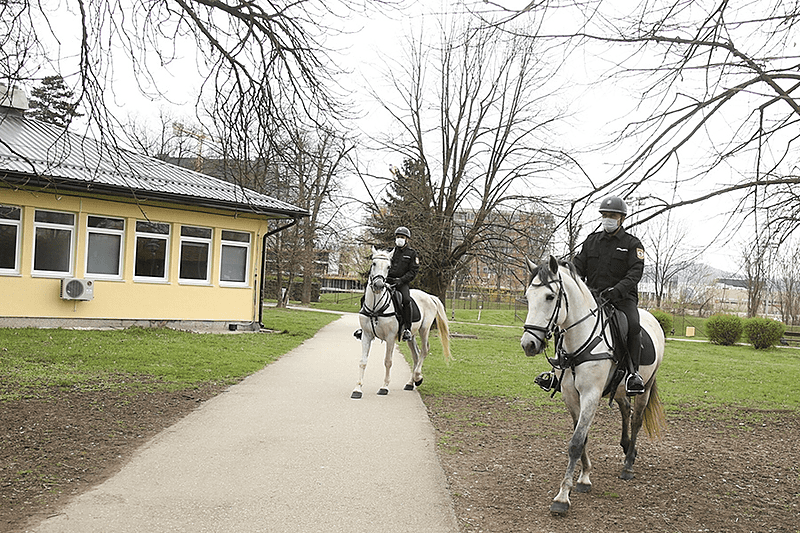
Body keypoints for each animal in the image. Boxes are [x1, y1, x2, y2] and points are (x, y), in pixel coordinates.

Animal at [350, 247, 450, 396]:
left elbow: (388, 361)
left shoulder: (390, 337)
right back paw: (410, 382)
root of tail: (429, 296)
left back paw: (418, 377)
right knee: (416, 355)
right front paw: (357, 389)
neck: (376, 307)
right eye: (373, 263)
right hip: (411, 335)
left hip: (424, 330)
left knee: (424, 350)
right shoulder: (366, 335)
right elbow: (363, 361)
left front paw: (384, 387)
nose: (379, 285)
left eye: (388, 266)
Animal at [520, 256, 668, 512]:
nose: (528, 344)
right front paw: (584, 477)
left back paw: (628, 464)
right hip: (618, 389)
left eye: (549, 297)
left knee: (636, 420)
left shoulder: (591, 394)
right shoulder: (570, 395)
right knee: (625, 409)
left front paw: (562, 497)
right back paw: (627, 447)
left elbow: (576, 442)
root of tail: (651, 319)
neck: (579, 339)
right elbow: (583, 437)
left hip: (645, 388)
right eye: (528, 297)